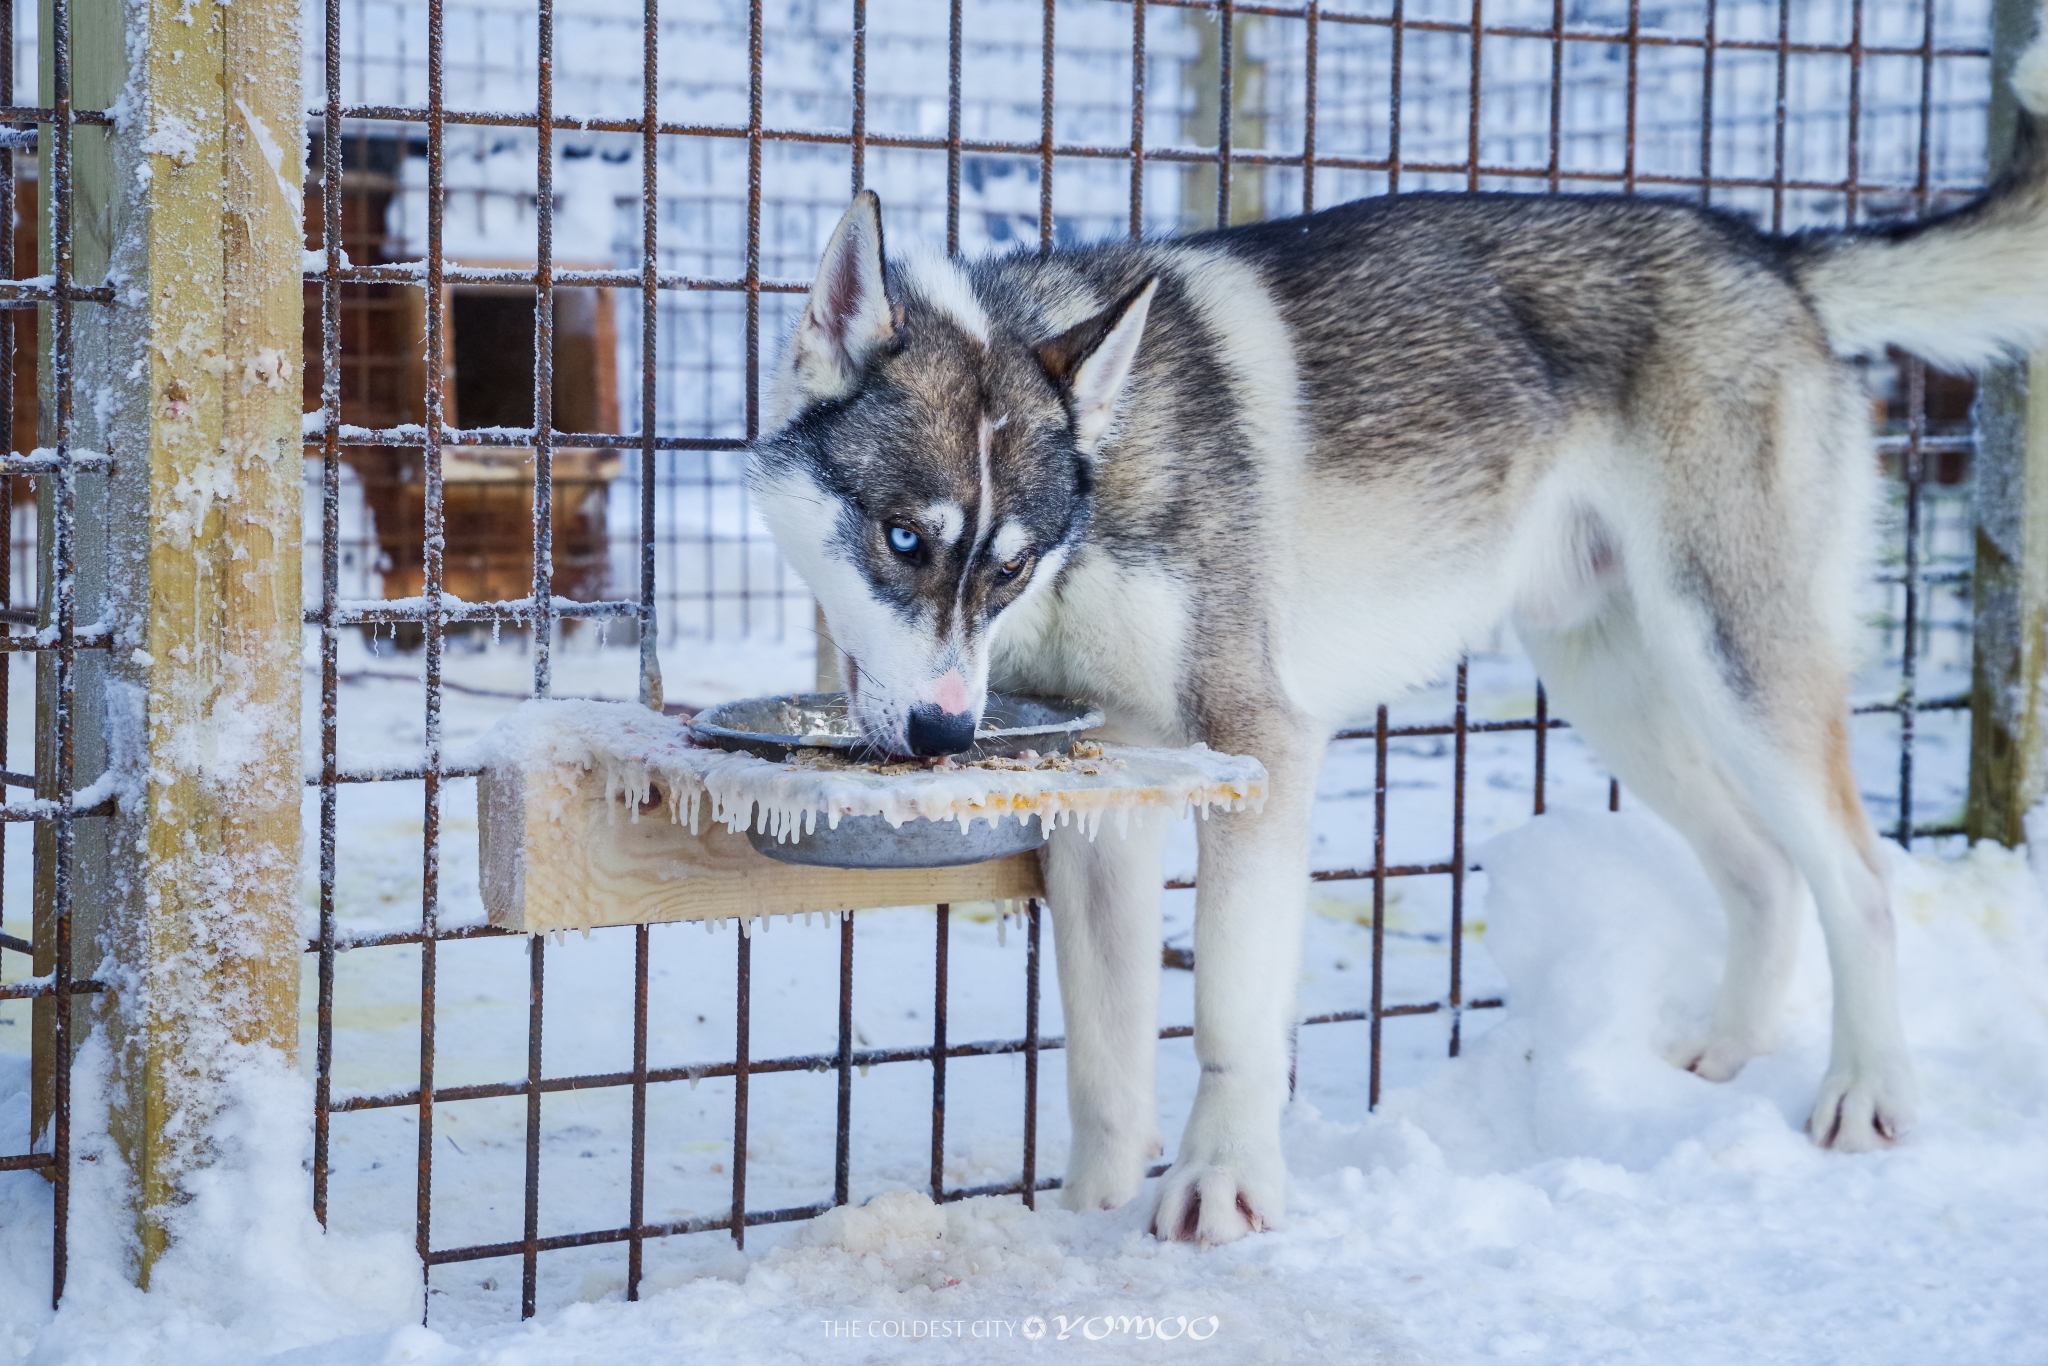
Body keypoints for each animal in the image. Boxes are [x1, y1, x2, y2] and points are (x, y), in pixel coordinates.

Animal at [745, 26, 2048, 1245]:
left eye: (1006, 564)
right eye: (903, 539)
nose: (941, 733)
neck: (1101, 502)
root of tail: (1766, 251)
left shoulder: (1259, 746)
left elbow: (1227, 1014)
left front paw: (1222, 1187)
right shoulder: (1106, 791)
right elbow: (1105, 1066)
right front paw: (1091, 1217)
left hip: (1735, 665)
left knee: (1856, 876)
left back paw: (1866, 1092)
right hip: (1619, 690)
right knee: (1765, 873)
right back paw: (1720, 1058)